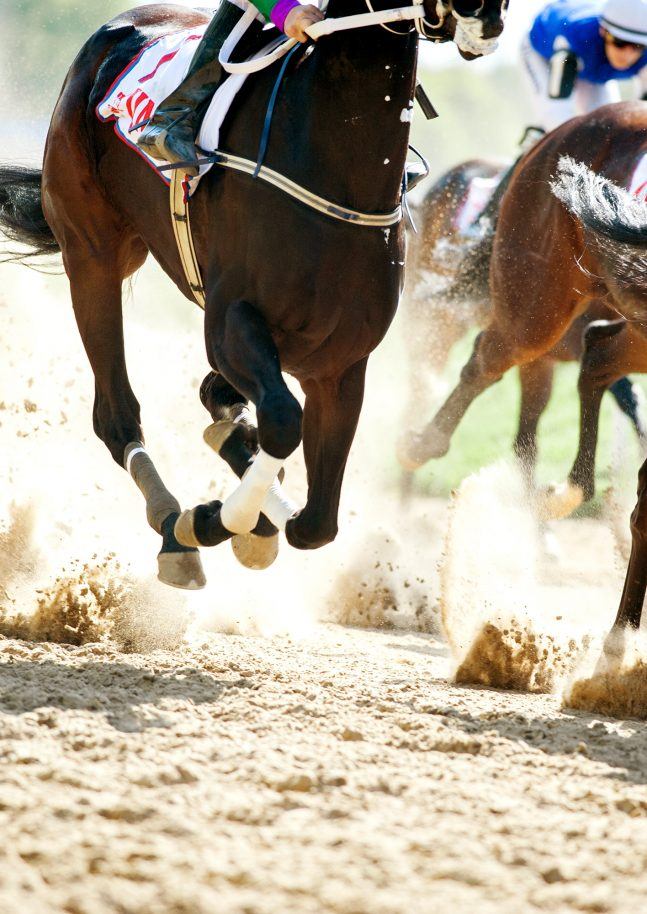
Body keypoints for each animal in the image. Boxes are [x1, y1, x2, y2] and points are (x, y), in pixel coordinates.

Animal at [0, 3, 512, 588]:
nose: (486, 19)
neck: (338, 168)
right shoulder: (232, 323)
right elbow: (285, 422)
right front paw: (209, 521)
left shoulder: (340, 364)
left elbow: (316, 524)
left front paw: (249, 508)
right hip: (93, 255)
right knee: (116, 414)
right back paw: (173, 523)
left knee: (217, 401)